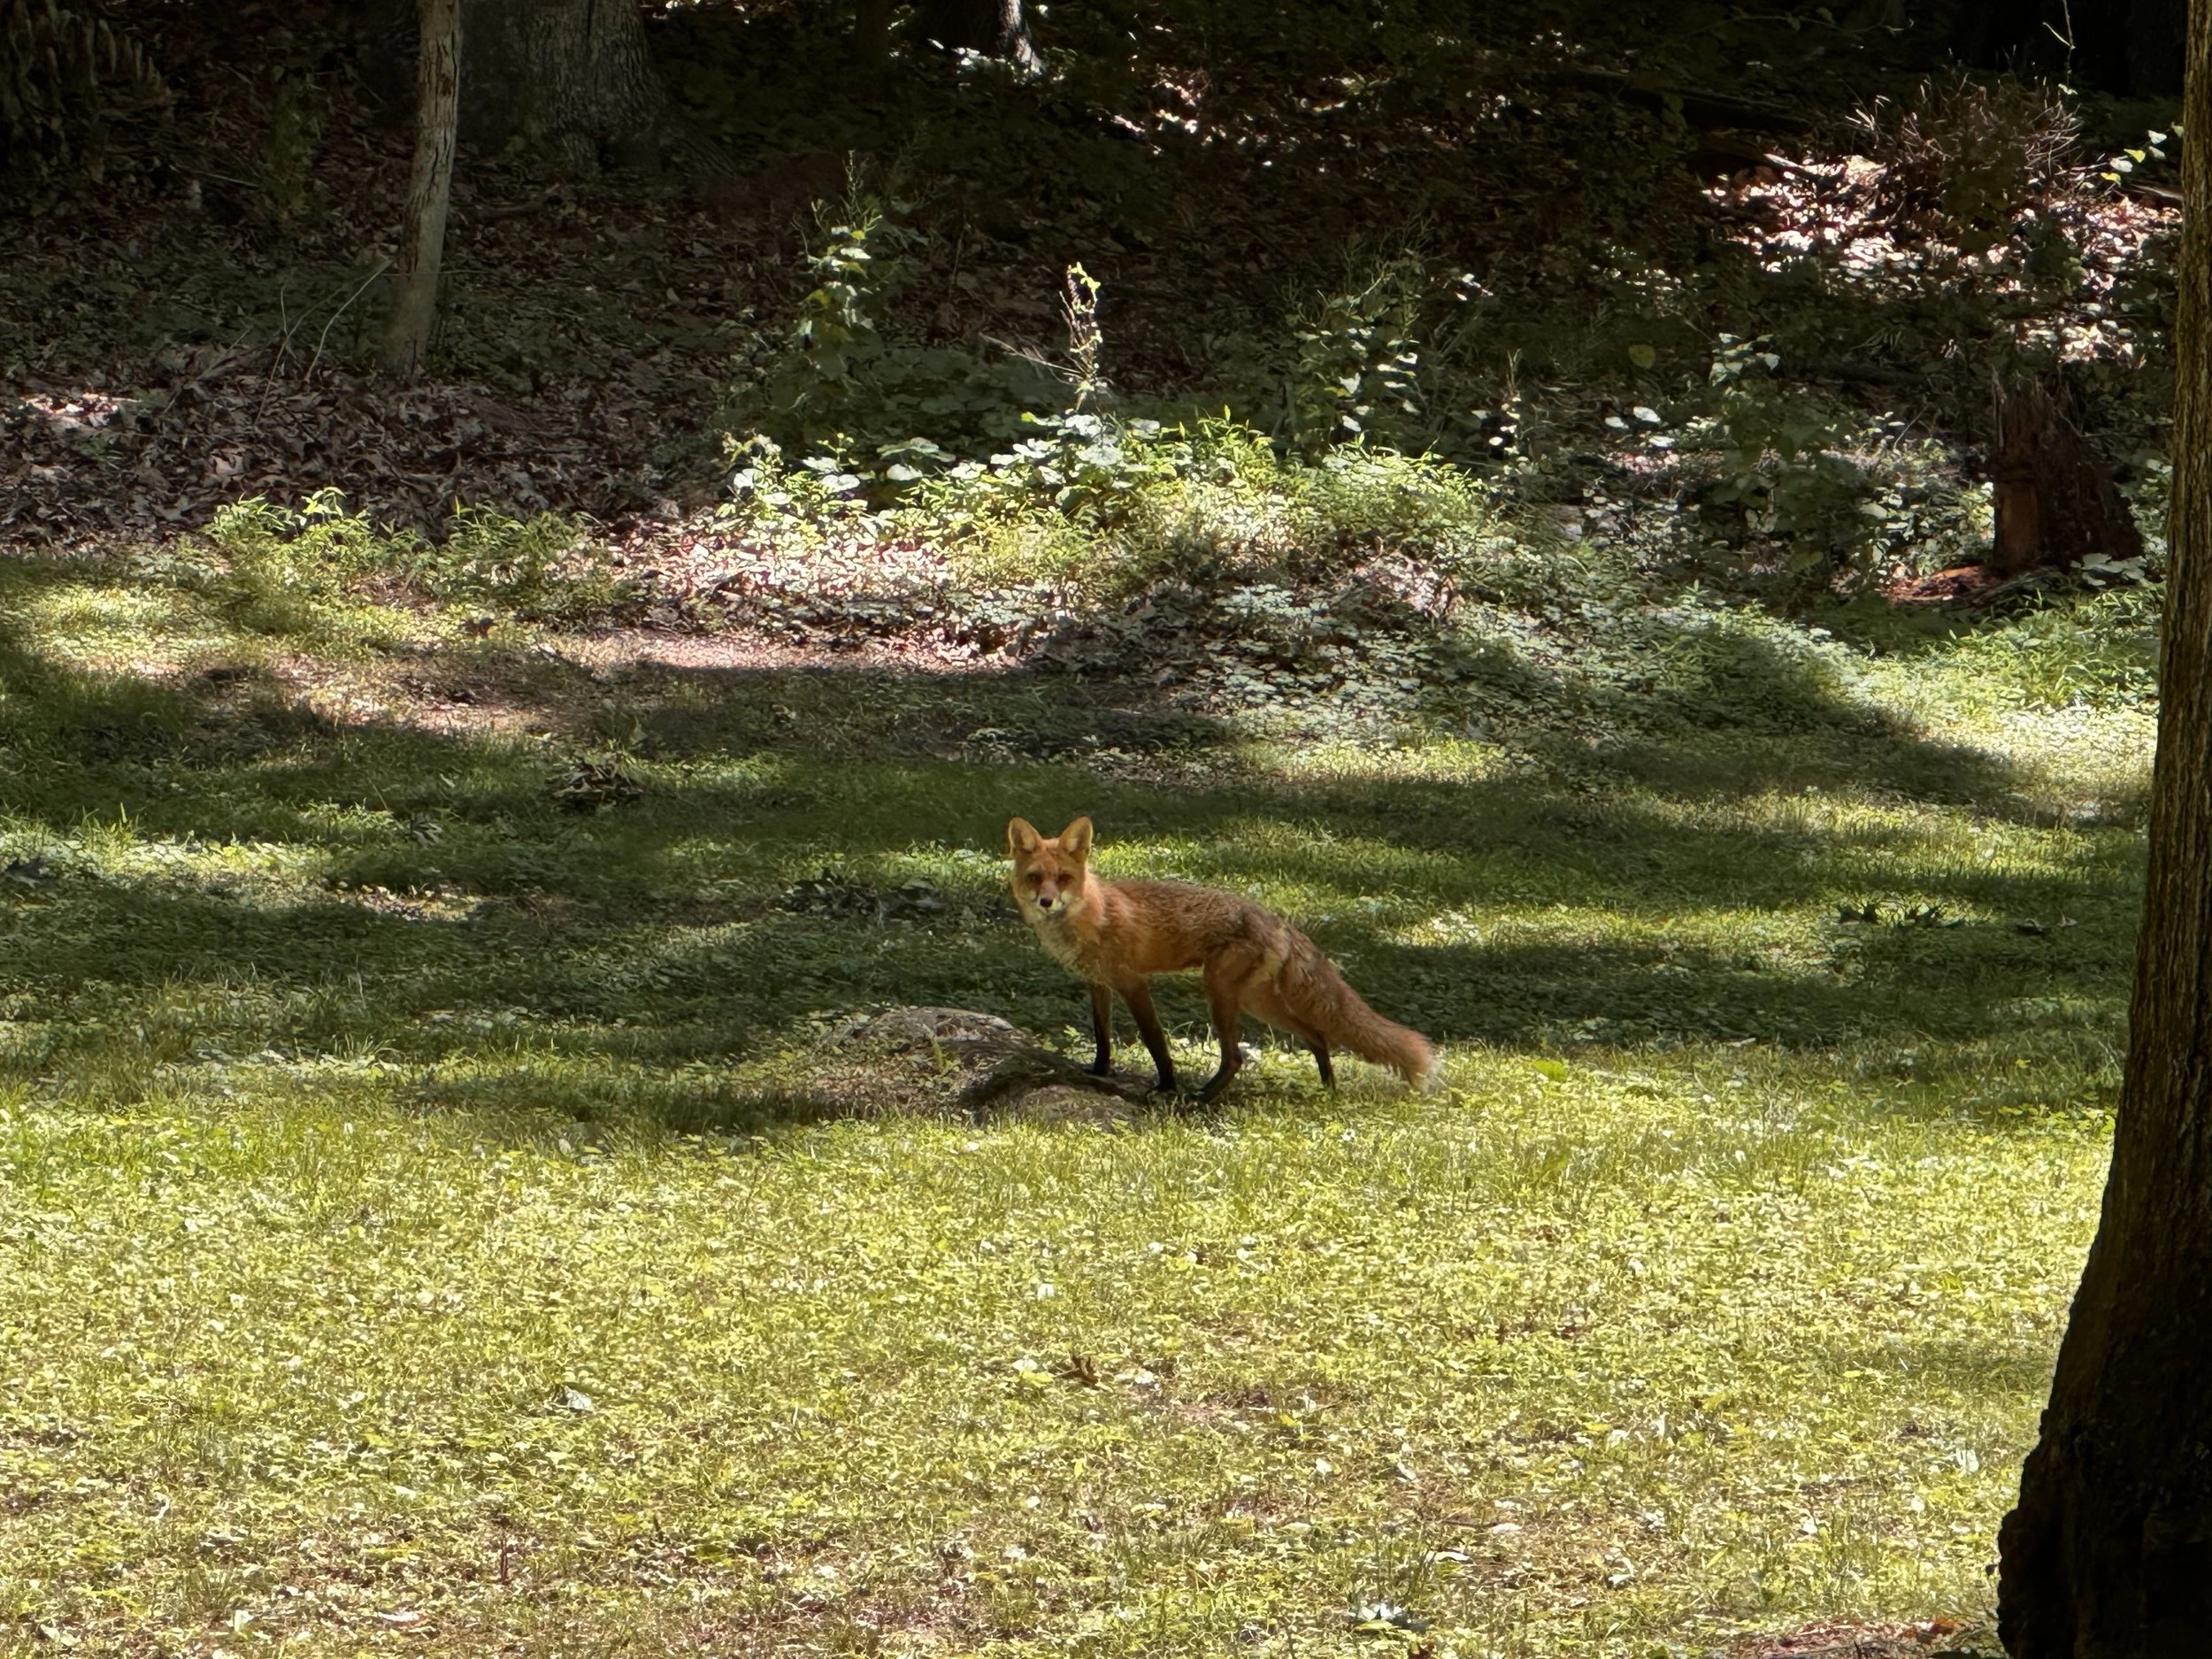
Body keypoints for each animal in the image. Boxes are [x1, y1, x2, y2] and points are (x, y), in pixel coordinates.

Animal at [1006, 815, 1440, 1100]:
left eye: (1063, 878)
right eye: (1035, 877)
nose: (1046, 902)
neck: (1091, 914)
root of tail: (1275, 919)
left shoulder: (1133, 982)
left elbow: (1155, 1040)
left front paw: (1166, 1086)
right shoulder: (1098, 983)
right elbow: (1102, 1037)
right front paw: (1098, 1072)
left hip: (1219, 992)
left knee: (1236, 1057)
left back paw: (1203, 1097)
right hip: (1255, 1000)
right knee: (1317, 1035)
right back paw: (1327, 1089)